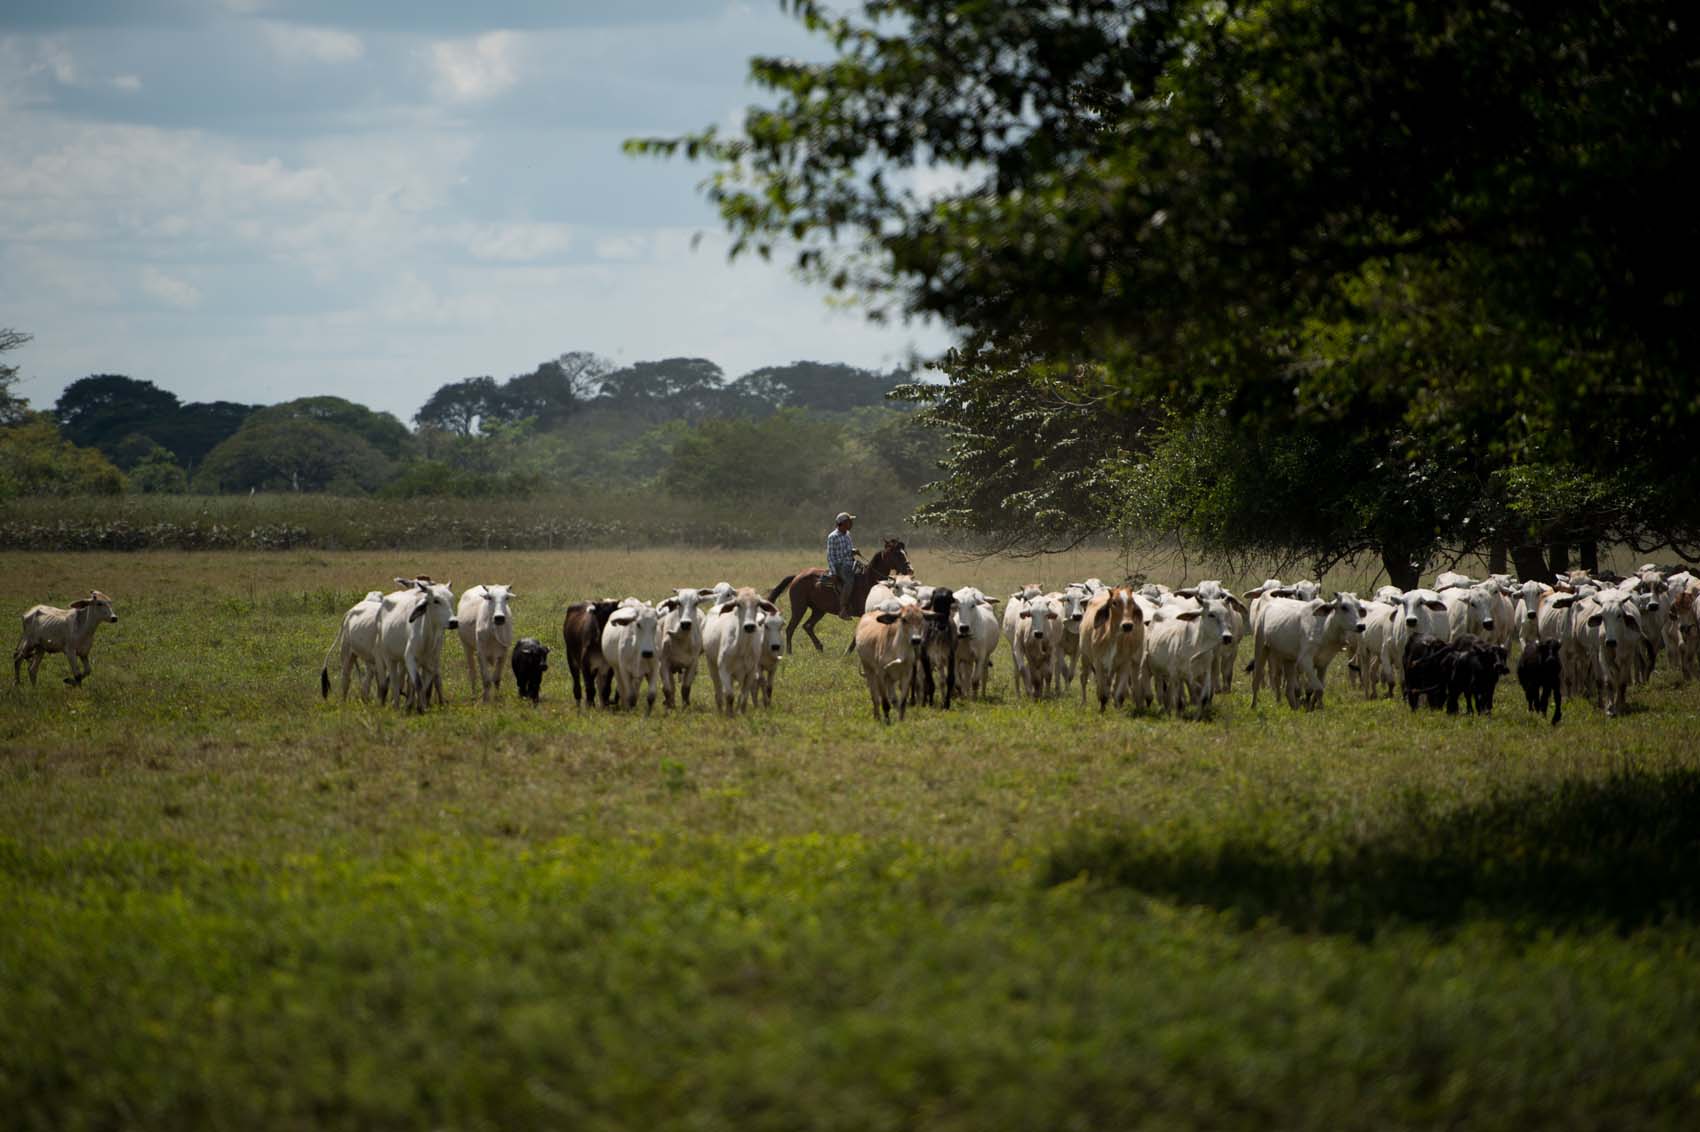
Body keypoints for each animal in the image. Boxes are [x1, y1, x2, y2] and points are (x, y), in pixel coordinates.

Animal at [765, 540, 911, 652]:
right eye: (897, 553)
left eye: (904, 552)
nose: (909, 569)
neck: (870, 581)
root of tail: (797, 576)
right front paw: (848, 652)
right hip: (799, 607)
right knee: (790, 629)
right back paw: (789, 652)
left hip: (819, 610)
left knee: (807, 626)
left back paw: (819, 647)